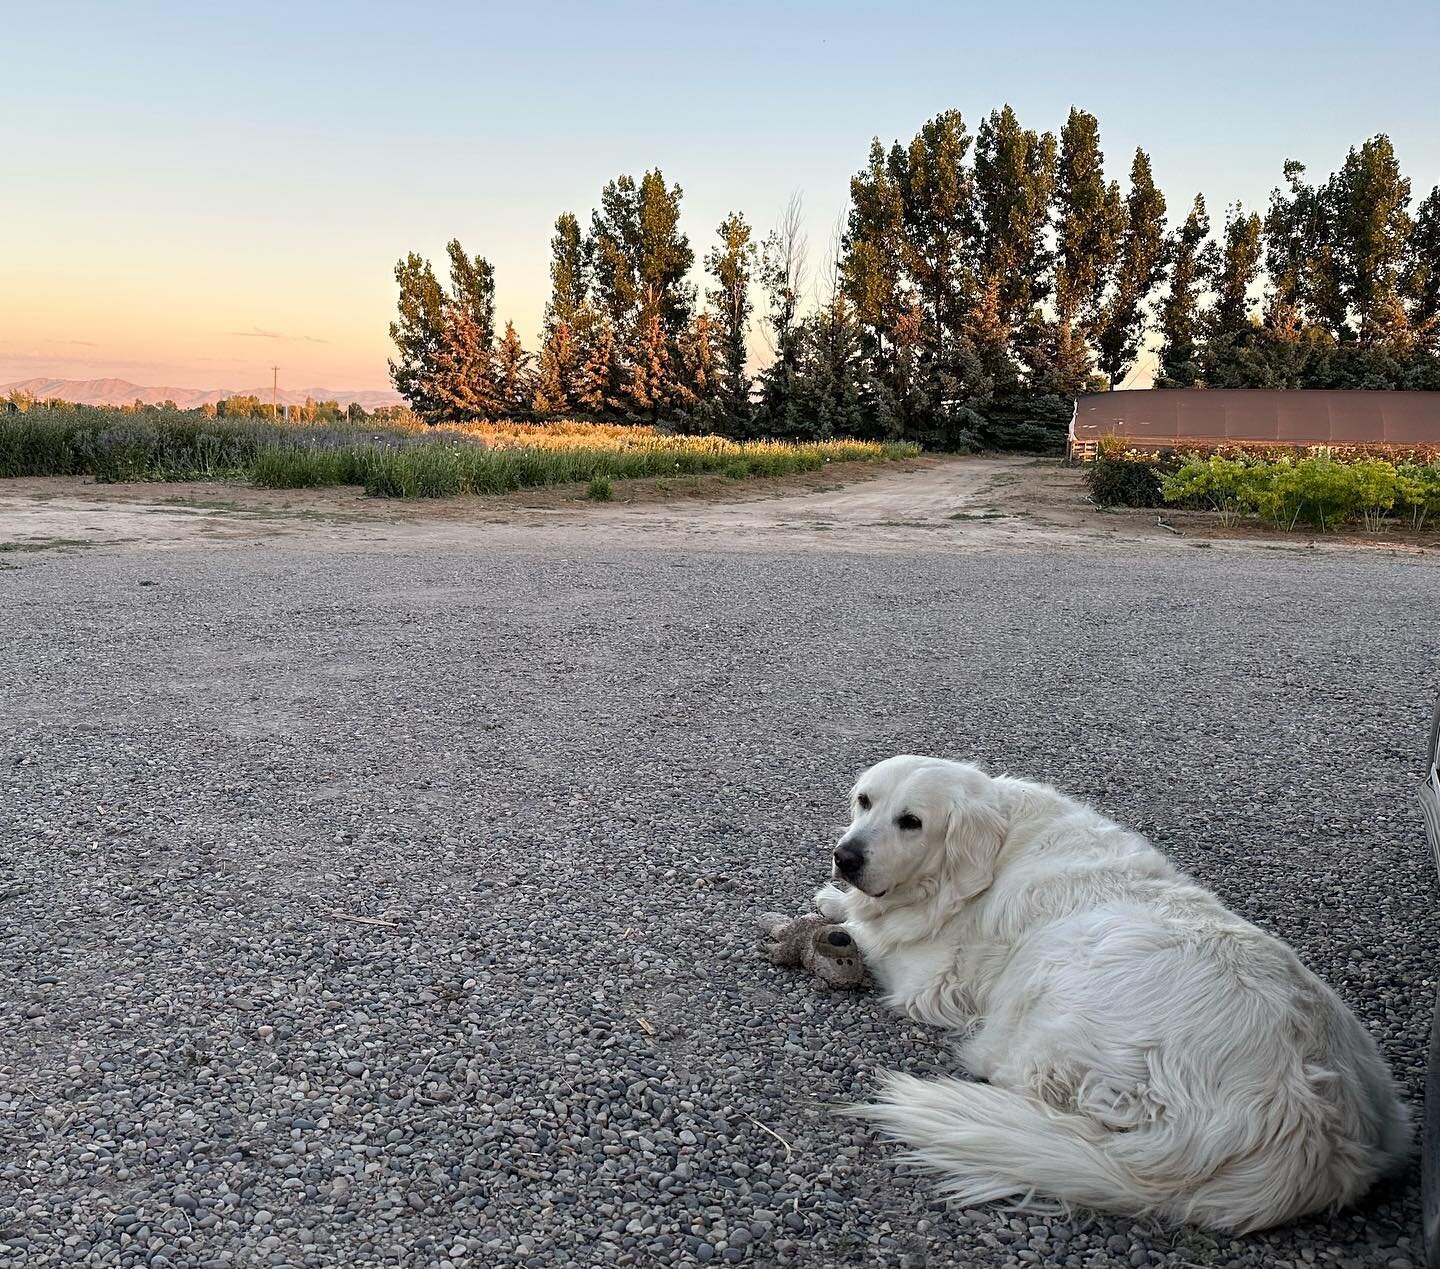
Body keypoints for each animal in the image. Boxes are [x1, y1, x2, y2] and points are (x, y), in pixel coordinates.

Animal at [817, 754, 1411, 1227]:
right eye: (864, 801)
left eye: (911, 822)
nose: (845, 857)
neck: (990, 851)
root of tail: (1306, 1133)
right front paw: (835, 898)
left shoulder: (927, 979)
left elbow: (870, 933)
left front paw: (836, 915)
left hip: (1069, 972)